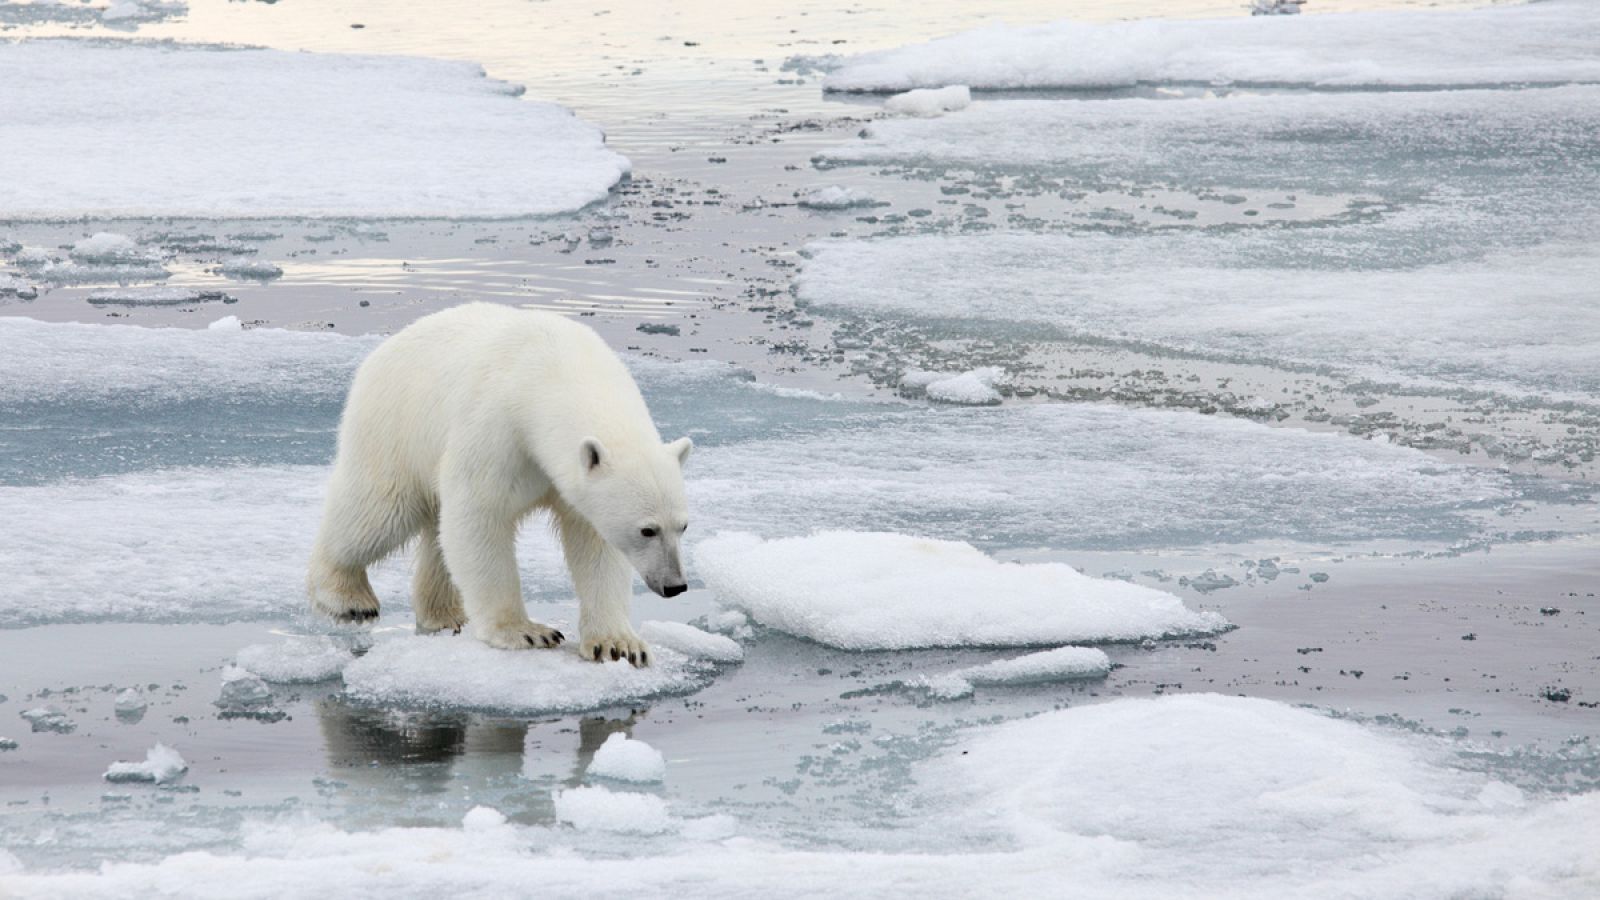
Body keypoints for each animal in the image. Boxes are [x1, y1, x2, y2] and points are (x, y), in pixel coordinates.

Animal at [306, 303, 692, 667]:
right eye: (647, 530)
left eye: (683, 526)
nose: (675, 585)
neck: (556, 371)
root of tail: (383, 349)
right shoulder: (498, 427)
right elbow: (479, 516)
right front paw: (526, 632)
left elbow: (595, 544)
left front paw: (619, 645)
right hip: (396, 426)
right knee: (378, 512)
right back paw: (347, 598)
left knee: (435, 533)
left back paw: (444, 614)